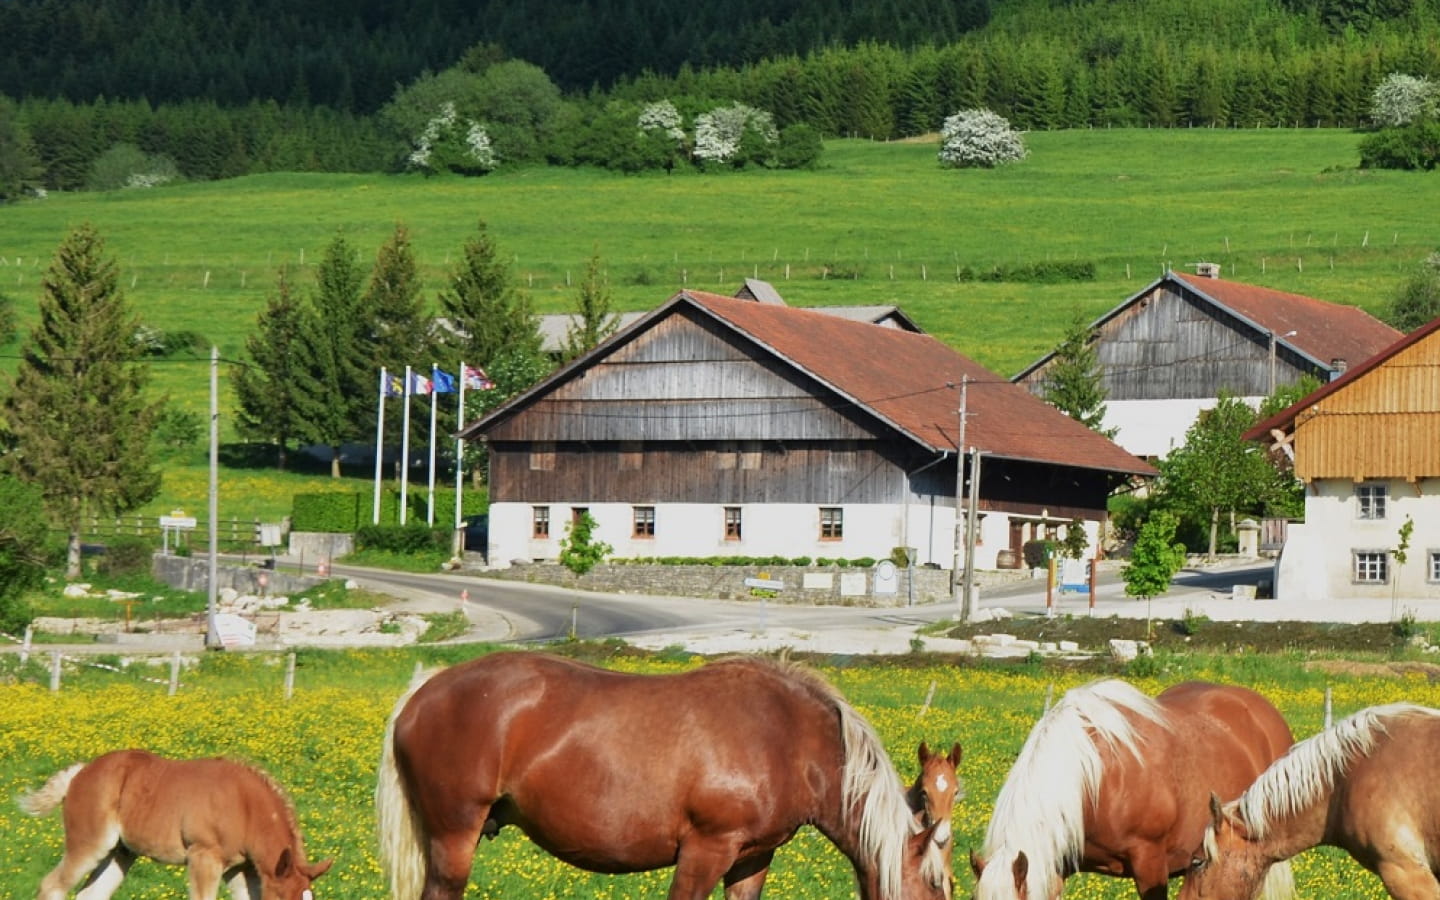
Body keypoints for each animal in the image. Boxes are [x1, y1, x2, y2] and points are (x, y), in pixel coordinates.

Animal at [374, 648, 956, 898]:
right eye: (936, 882)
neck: (789, 737)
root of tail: (423, 692)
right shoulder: (705, 851)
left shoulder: (752, 859)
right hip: (454, 839)